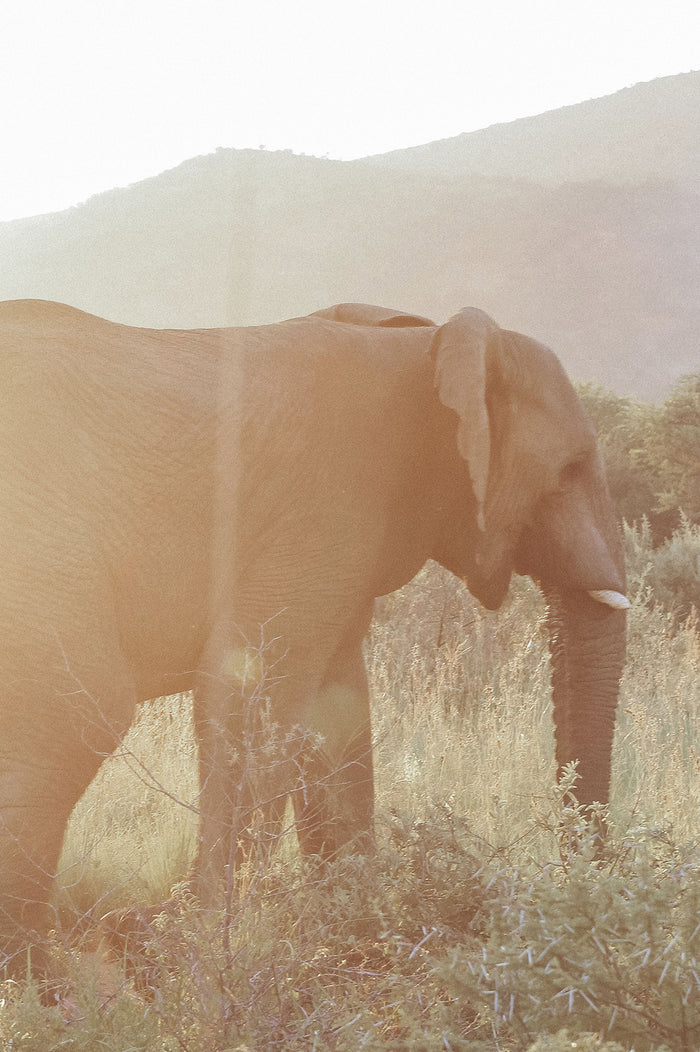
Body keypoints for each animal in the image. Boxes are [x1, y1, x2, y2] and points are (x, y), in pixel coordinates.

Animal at [0, 297, 628, 974]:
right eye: (567, 471)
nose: (578, 893)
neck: (428, 349)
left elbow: (338, 707)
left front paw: (359, 930)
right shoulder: (321, 512)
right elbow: (249, 695)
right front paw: (201, 951)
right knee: (74, 718)